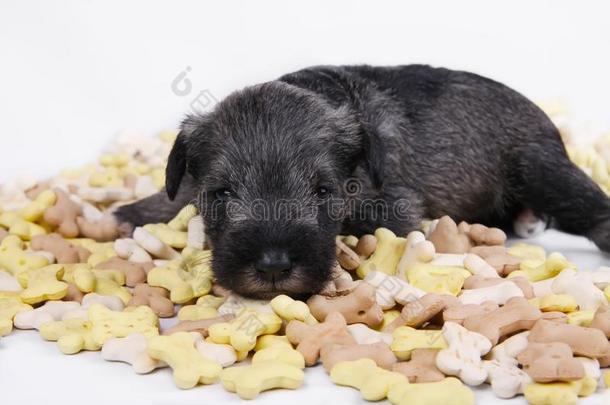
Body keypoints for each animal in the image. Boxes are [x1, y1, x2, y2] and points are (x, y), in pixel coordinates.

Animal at [113, 64, 608, 298]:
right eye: (222, 194)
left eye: (323, 192)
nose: (273, 267)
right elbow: (177, 192)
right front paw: (134, 211)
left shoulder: (396, 208)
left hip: (540, 169)